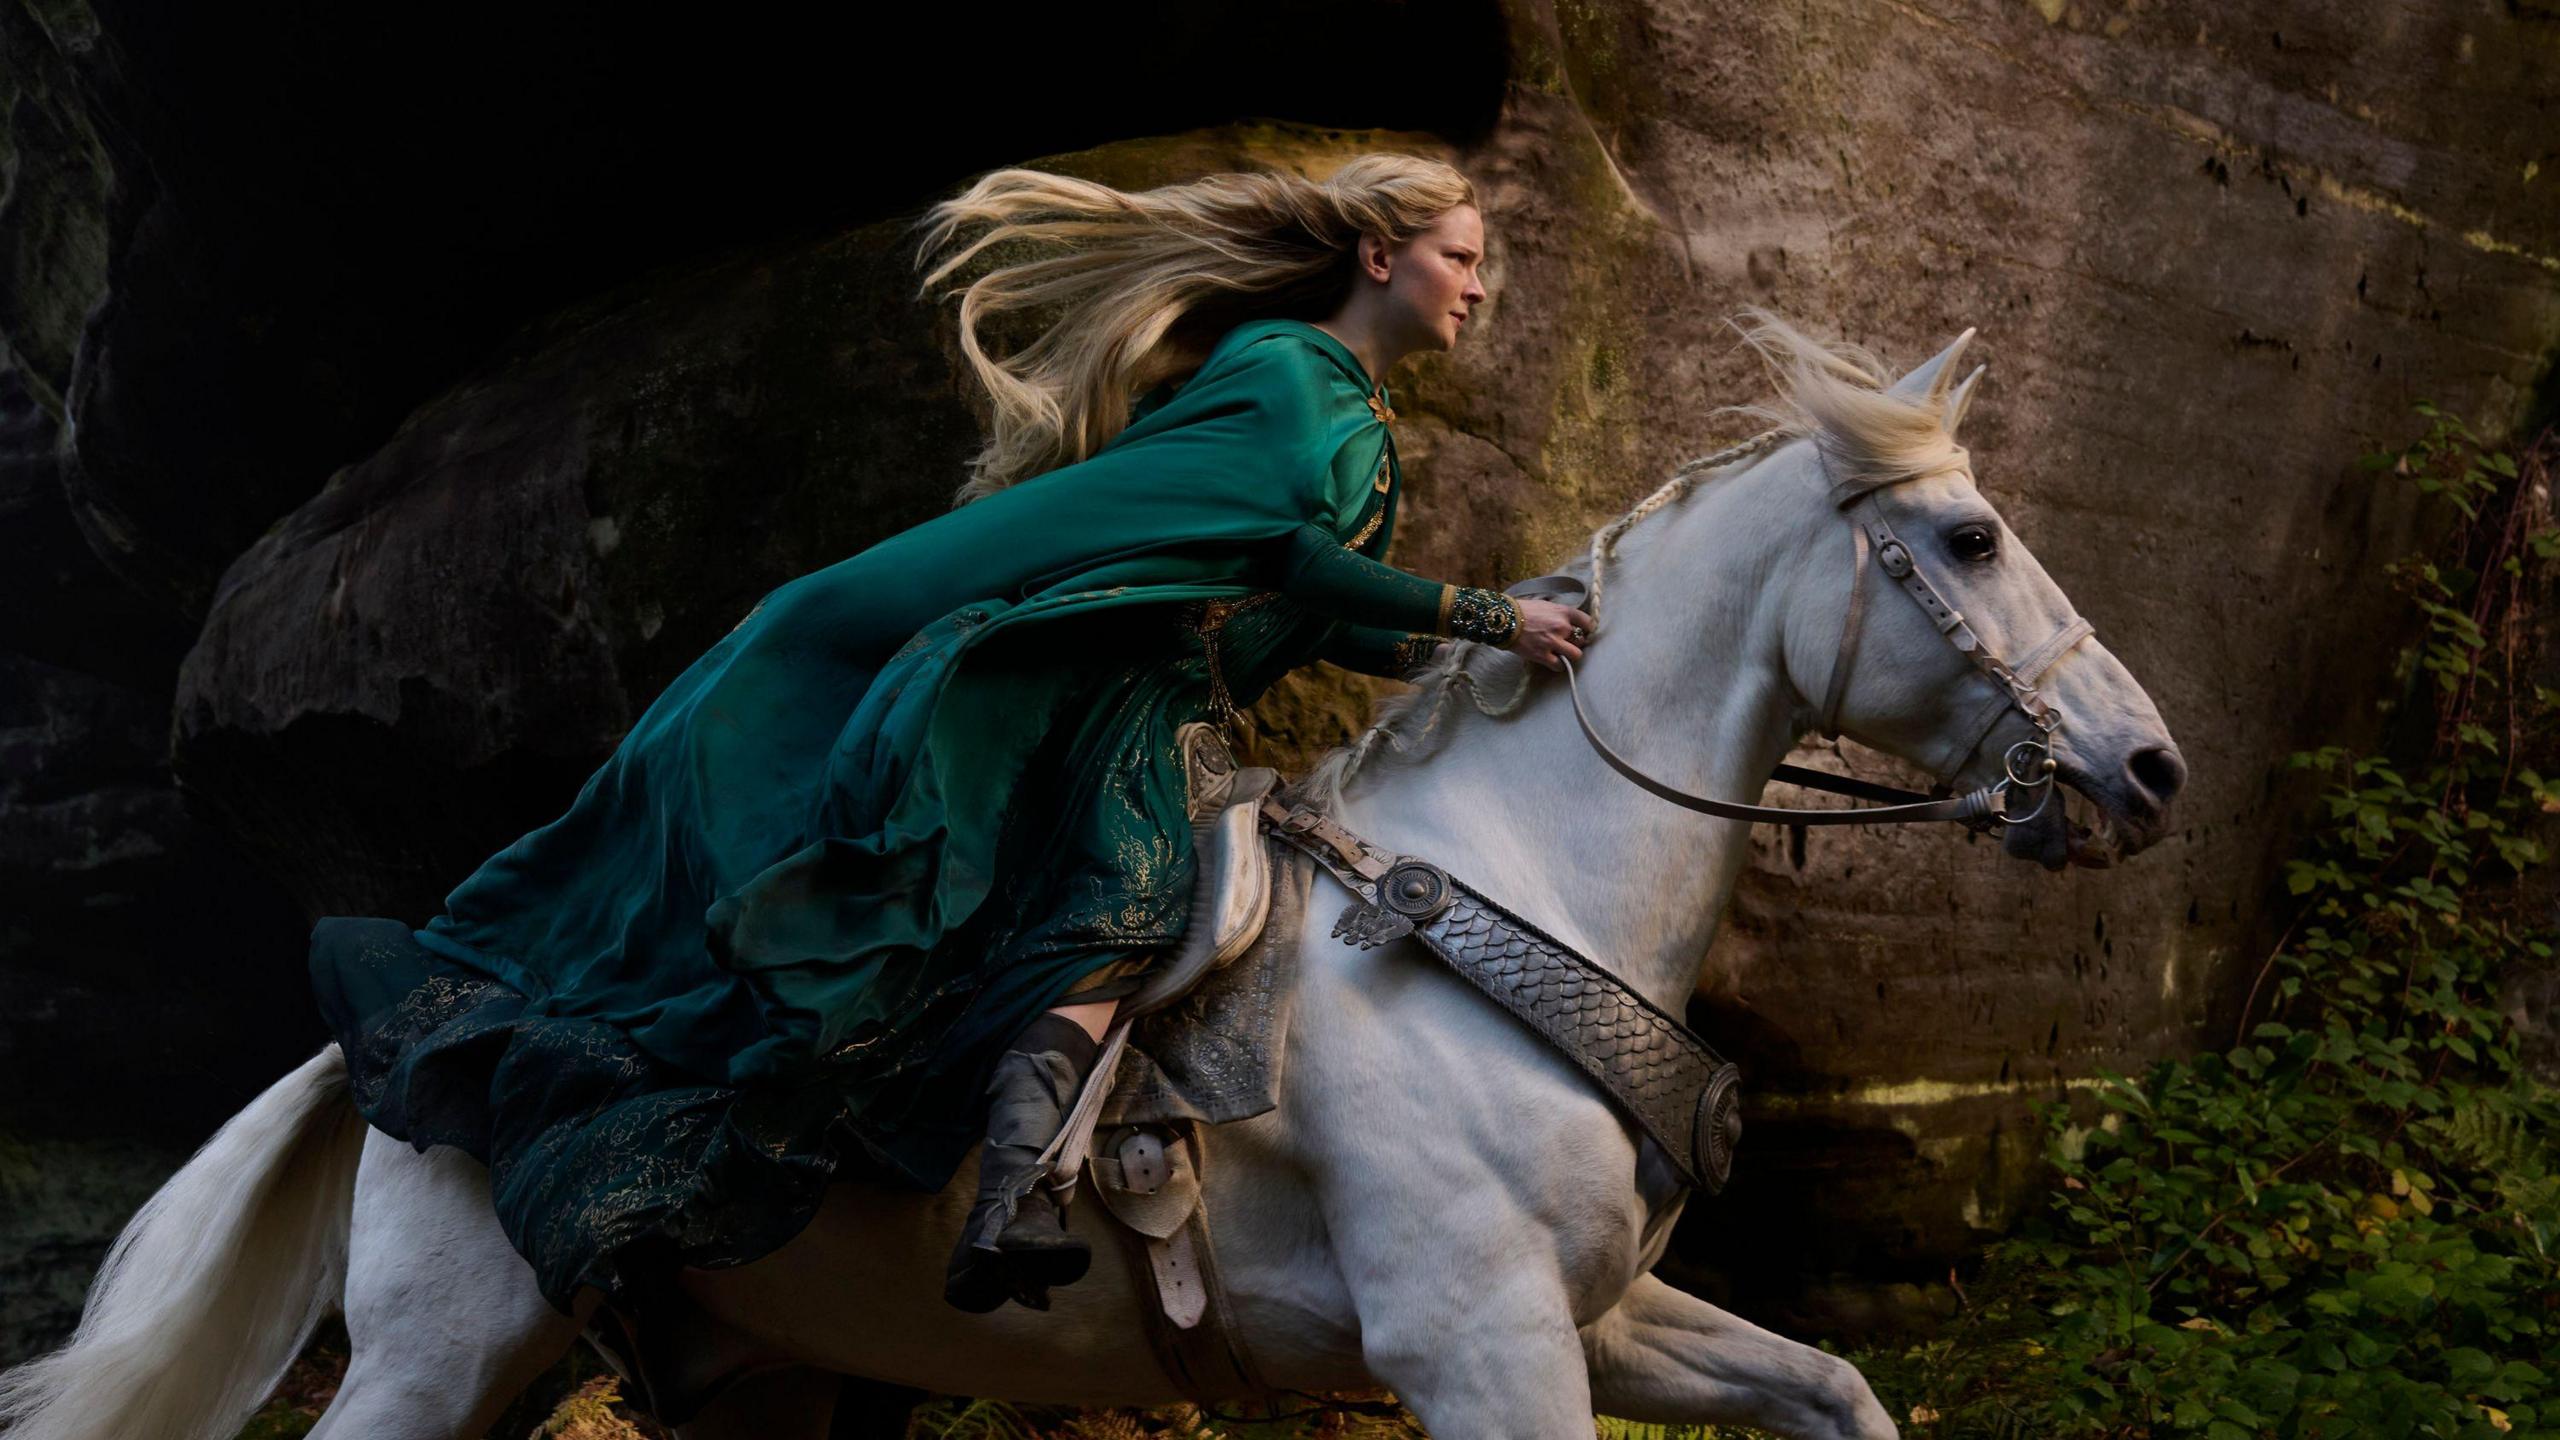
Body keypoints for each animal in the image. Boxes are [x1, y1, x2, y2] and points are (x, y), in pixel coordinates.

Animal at [5, 319, 2201, 1434]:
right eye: (1974, 539)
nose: (2150, 769)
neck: (1517, 885)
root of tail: (377, 1050)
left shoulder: (1590, 1318)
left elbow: (1833, 1388)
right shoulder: (1479, 1346)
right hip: (437, 1364)